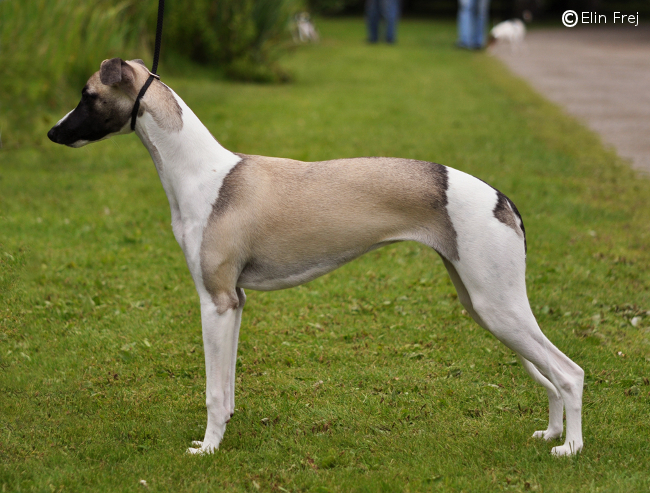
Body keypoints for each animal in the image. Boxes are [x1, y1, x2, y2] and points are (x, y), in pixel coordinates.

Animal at [45, 59, 584, 456]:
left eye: (87, 94)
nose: (52, 134)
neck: (202, 172)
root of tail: (501, 198)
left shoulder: (215, 300)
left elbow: (213, 389)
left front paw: (208, 448)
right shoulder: (235, 302)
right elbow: (228, 383)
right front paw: (225, 431)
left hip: (498, 305)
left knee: (569, 372)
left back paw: (571, 448)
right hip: (483, 305)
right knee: (550, 376)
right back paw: (551, 433)